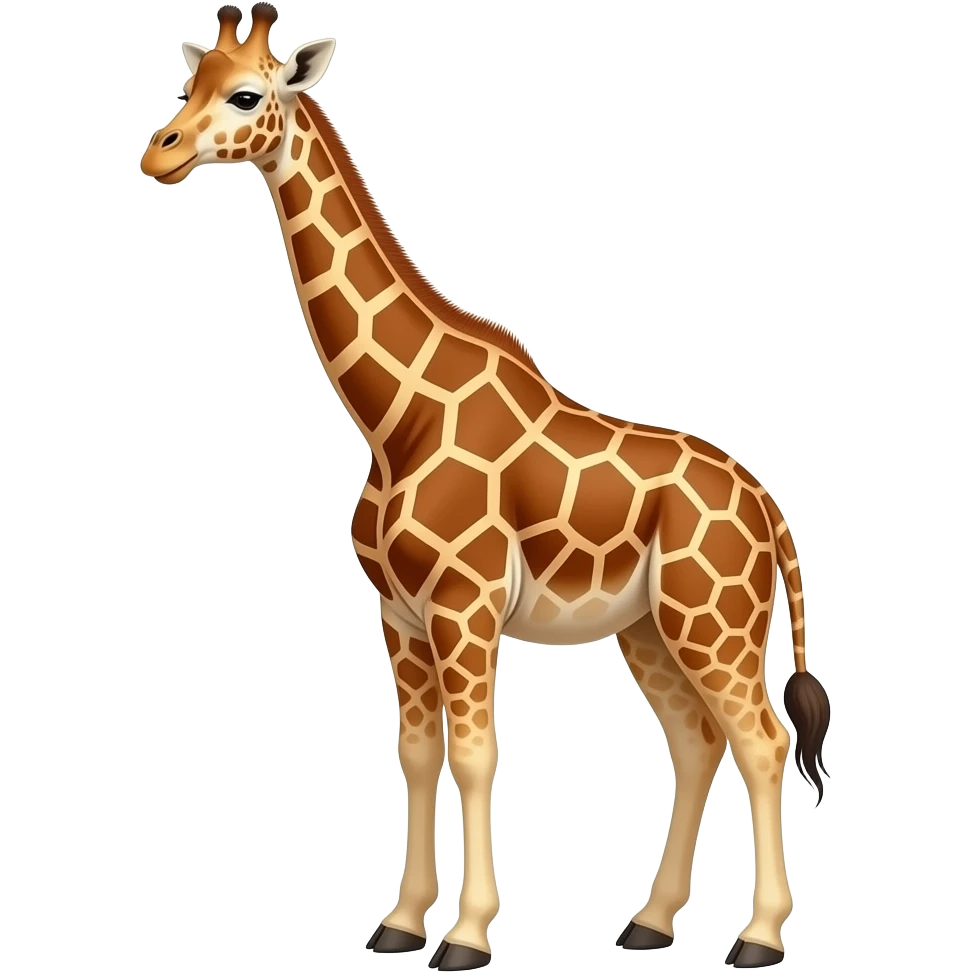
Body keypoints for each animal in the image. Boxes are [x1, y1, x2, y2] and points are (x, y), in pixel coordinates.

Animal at [139, 6, 831, 970]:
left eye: (245, 94)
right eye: (187, 84)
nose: (157, 153)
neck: (394, 419)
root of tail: (769, 507)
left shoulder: (463, 606)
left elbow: (474, 755)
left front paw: (465, 935)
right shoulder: (397, 612)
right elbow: (416, 752)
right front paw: (400, 922)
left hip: (713, 619)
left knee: (760, 740)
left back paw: (757, 937)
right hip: (648, 627)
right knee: (696, 743)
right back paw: (649, 922)